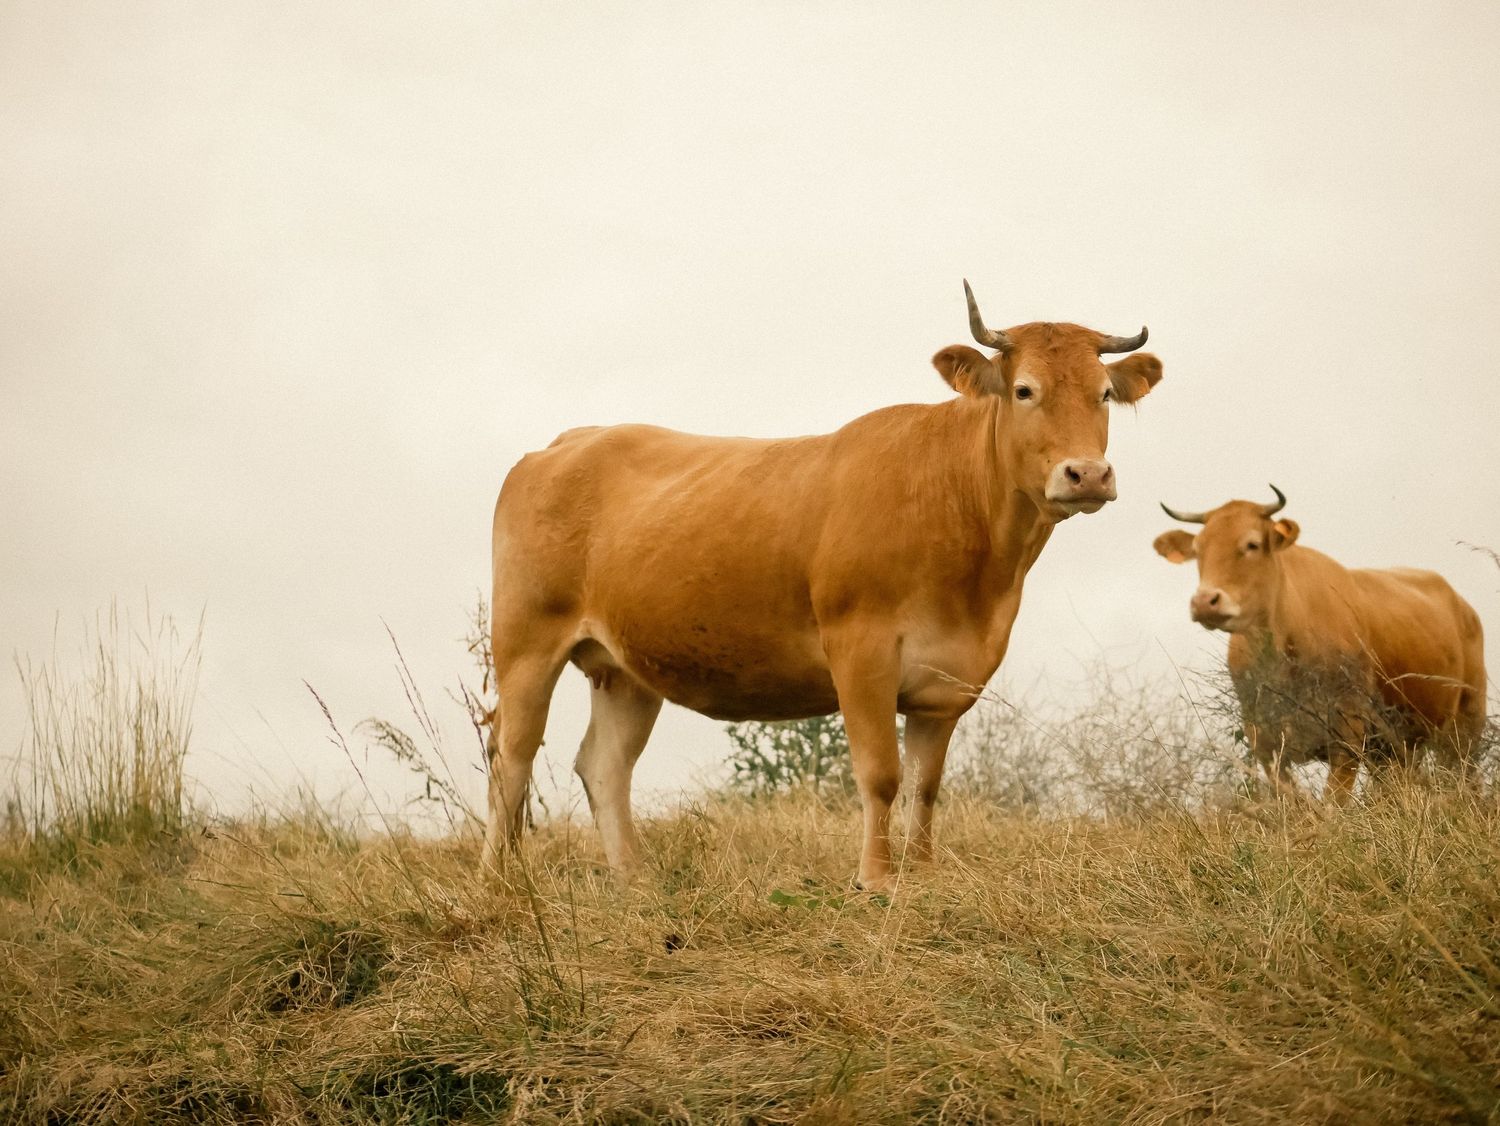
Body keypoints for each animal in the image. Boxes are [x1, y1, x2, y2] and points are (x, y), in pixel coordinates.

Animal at [484, 282, 1164, 891]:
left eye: (1104, 393)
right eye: (1025, 390)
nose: (1087, 474)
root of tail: (568, 441)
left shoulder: (948, 678)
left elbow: (926, 785)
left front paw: (923, 876)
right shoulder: (860, 649)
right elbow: (882, 773)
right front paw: (876, 880)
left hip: (626, 667)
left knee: (605, 766)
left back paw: (635, 884)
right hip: (526, 640)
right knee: (511, 754)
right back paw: (502, 880)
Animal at [1153, 487, 1486, 800]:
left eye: (1251, 544)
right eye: (1198, 550)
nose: (1205, 602)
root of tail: (1463, 606)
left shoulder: (1348, 734)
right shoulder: (1264, 739)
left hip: (1465, 727)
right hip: (1395, 748)